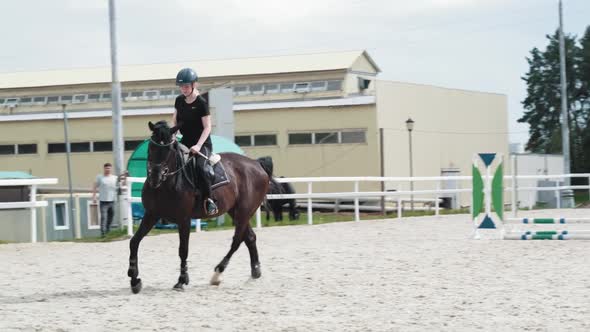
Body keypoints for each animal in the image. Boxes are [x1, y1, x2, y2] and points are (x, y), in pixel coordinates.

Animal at [126, 121, 278, 294]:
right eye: (151, 146)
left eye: (169, 149)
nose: (155, 177)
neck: (166, 184)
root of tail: (256, 163)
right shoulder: (151, 215)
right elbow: (134, 242)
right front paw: (134, 279)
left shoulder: (184, 219)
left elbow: (183, 249)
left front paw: (182, 280)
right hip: (236, 212)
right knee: (250, 238)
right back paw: (255, 270)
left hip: (244, 211)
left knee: (237, 241)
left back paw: (217, 274)